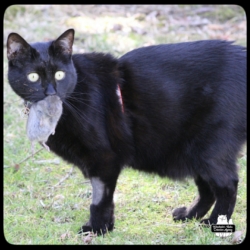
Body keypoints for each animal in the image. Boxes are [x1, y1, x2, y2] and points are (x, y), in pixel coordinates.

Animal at [6, 28, 246, 234]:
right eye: (33, 77)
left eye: (59, 75)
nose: (50, 93)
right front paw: (106, 227)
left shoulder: (104, 159)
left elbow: (99, 198)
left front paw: (97, 229)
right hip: (192, 149)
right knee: (207, 188)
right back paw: (189, 215)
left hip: (210, 146)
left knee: (227, 185)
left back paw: (214, 222)